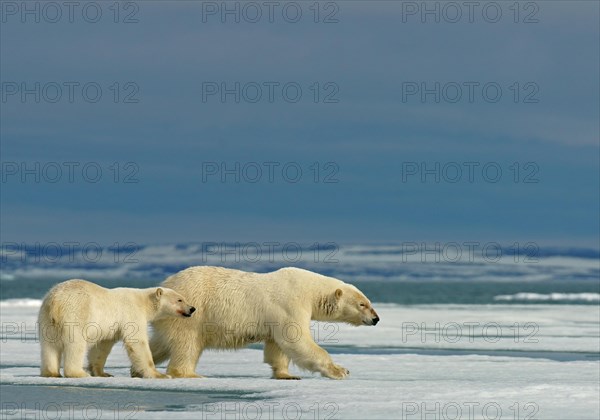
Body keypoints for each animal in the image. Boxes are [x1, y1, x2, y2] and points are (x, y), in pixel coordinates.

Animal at [37, 280, 196, 378]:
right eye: (180, 299)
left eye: (183, 298)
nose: (192, 308)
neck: (144, 301)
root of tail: (56, 302)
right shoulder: (131, 313)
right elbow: (137, 342)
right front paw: (160, 375)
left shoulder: (110, 328)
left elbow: (102, 346)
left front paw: (103, 373)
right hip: (75, 314)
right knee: (76, 345)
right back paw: (78, 373)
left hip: (46, 320)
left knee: (48, 346)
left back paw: (51, 373)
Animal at [147, 266, 378, 380]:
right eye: (362, 304)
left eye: (368, 301)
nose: (376, 319)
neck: (310, 290)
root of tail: (166, 284)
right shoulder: (290, 304)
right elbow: (298, 341)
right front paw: (340, 371)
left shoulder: (278, 316)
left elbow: (278, 347)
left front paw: (286, 375)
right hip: (191, 313)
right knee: (187, 344)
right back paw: (191, 373)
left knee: (160, 344)